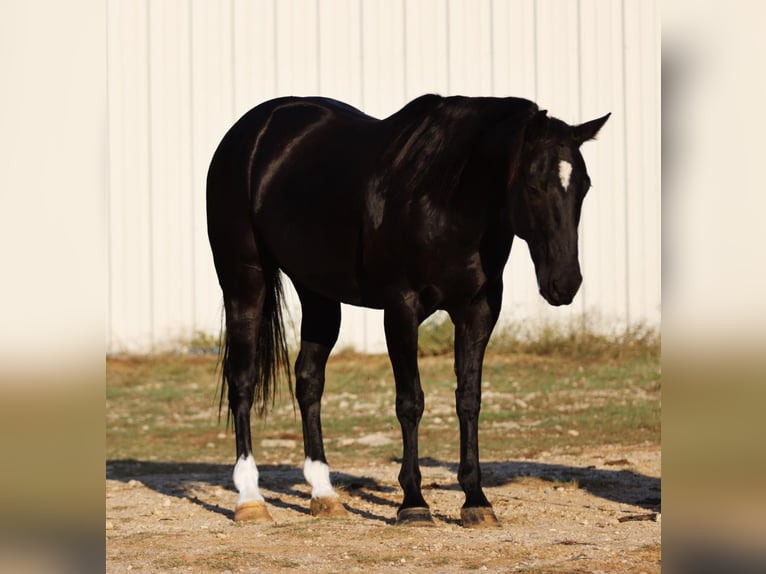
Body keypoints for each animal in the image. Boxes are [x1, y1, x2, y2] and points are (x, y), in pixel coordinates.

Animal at [206, 94, 612, 532]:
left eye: (584, 187)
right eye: (534, 185)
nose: (565, 283)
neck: (446, 196)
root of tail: (253, 129)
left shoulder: (478, 312)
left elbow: (469, 399)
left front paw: (476, 500)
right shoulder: (401, 310)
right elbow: (410, 401)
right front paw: (413, 503)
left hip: (317, 293)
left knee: (309, 381)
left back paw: (324, 494)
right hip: (244, 282)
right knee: (243, 381)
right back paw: (250, 498)